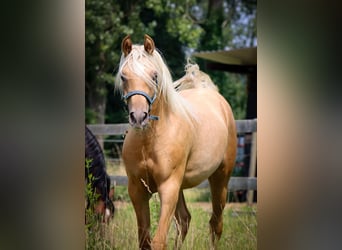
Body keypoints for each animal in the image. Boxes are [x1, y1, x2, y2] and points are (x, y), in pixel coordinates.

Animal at [115, 34, 235, 249]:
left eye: (154, 75)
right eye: (123, 76)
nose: (138, 116)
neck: (151, 141)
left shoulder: (168, 187)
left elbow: (158, 242)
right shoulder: (137, 190)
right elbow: (145, 241)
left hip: (220, 179)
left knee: (216, 224)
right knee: (184, 220)